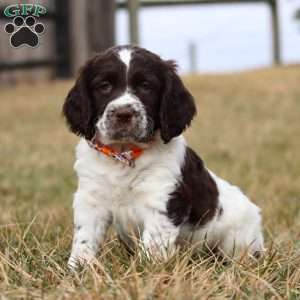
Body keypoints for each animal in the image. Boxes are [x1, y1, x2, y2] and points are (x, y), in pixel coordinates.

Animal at [62, 45, 264, 270]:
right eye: (104, 86)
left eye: (146, 86)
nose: (124, 114)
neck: (124, 155)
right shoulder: (91, 199)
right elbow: (84, 237)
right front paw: (78, 268)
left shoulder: (162, 199)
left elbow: (153, 244)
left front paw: (145, 270)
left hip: (239, 239)